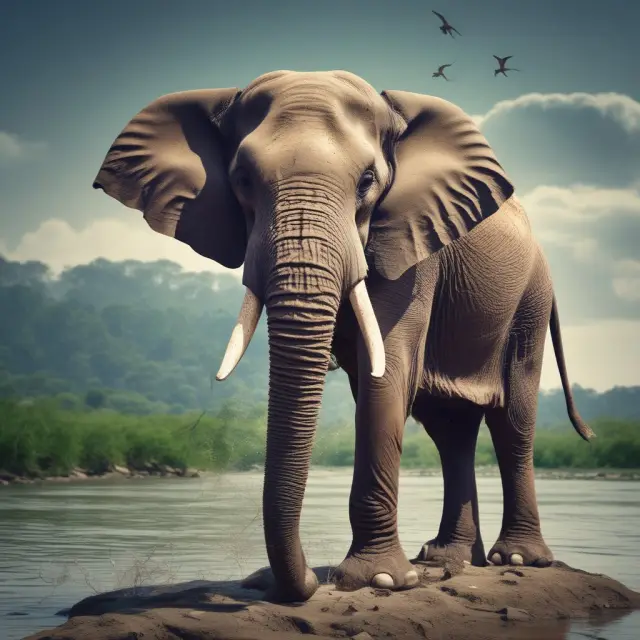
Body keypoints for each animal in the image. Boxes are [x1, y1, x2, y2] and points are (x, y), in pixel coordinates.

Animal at [92, 69, 594, 603]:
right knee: (450, 430)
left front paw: (378, 580)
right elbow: (377, 382)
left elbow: (387, 375)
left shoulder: (413, 240)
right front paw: (383, 577)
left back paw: (516, 559)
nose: (310, 580)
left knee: (512, 419)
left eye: (368, 182)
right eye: (242, 180)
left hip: (530, 300)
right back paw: (445, 561)